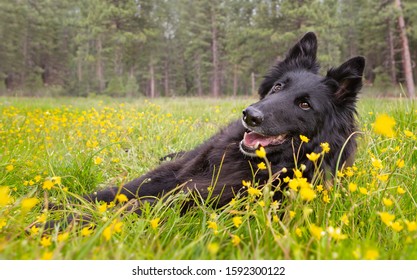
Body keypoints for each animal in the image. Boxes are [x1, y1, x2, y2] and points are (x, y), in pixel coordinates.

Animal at [48, 32, 364, 225]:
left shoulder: (196, 198)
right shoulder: (172, 176)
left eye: (304, 105)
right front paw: (52, 205)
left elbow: (134, 206)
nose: (250, 115)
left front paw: (59, 225)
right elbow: (115, 192)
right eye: (277, 87)